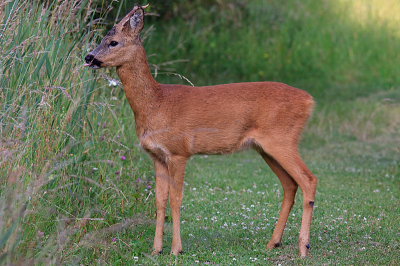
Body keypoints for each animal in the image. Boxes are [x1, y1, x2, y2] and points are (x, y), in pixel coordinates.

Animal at [85, 4, 318, 258]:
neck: (156, 102)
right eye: (102, 39)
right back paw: (273, 243)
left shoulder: (179, 152)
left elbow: (176, 199)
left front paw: (175, 249)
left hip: (282, 139)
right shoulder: (157, 155)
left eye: (113, 42)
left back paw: (303, 247)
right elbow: (159, 200)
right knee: (290, 184)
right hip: (265, 148)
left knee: (309, 180)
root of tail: (309, 100)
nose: (88, 57)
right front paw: (156, 249)